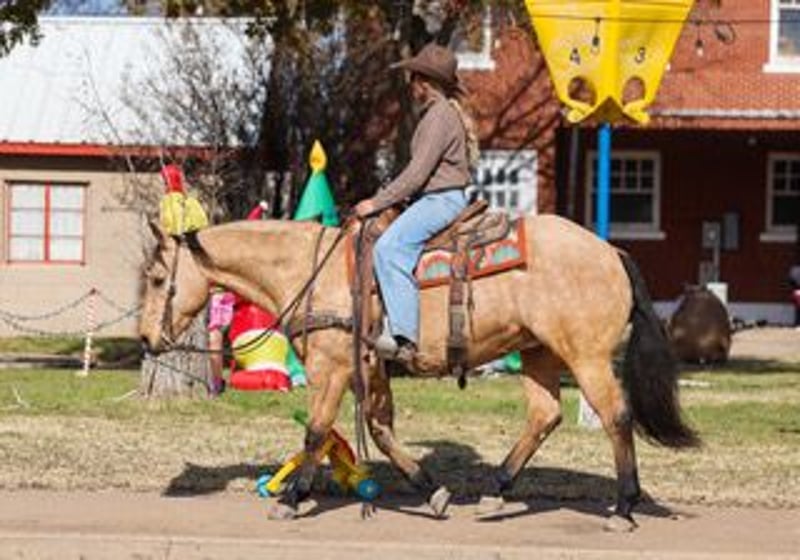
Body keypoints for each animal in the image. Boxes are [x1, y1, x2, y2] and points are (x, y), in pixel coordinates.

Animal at [138, 214, 699, 530]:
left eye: (159, 277)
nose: (145, 339)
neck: (311, 269)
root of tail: (612, 251)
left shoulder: (331, 366)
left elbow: (317, 432)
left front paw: (293, 498)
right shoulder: (371, 370)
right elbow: (381, 429)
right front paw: (432, 490)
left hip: (585, 356)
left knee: (615, 417)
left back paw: (623, 508)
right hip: (539, 353)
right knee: (544, 416)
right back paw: (496, 491)